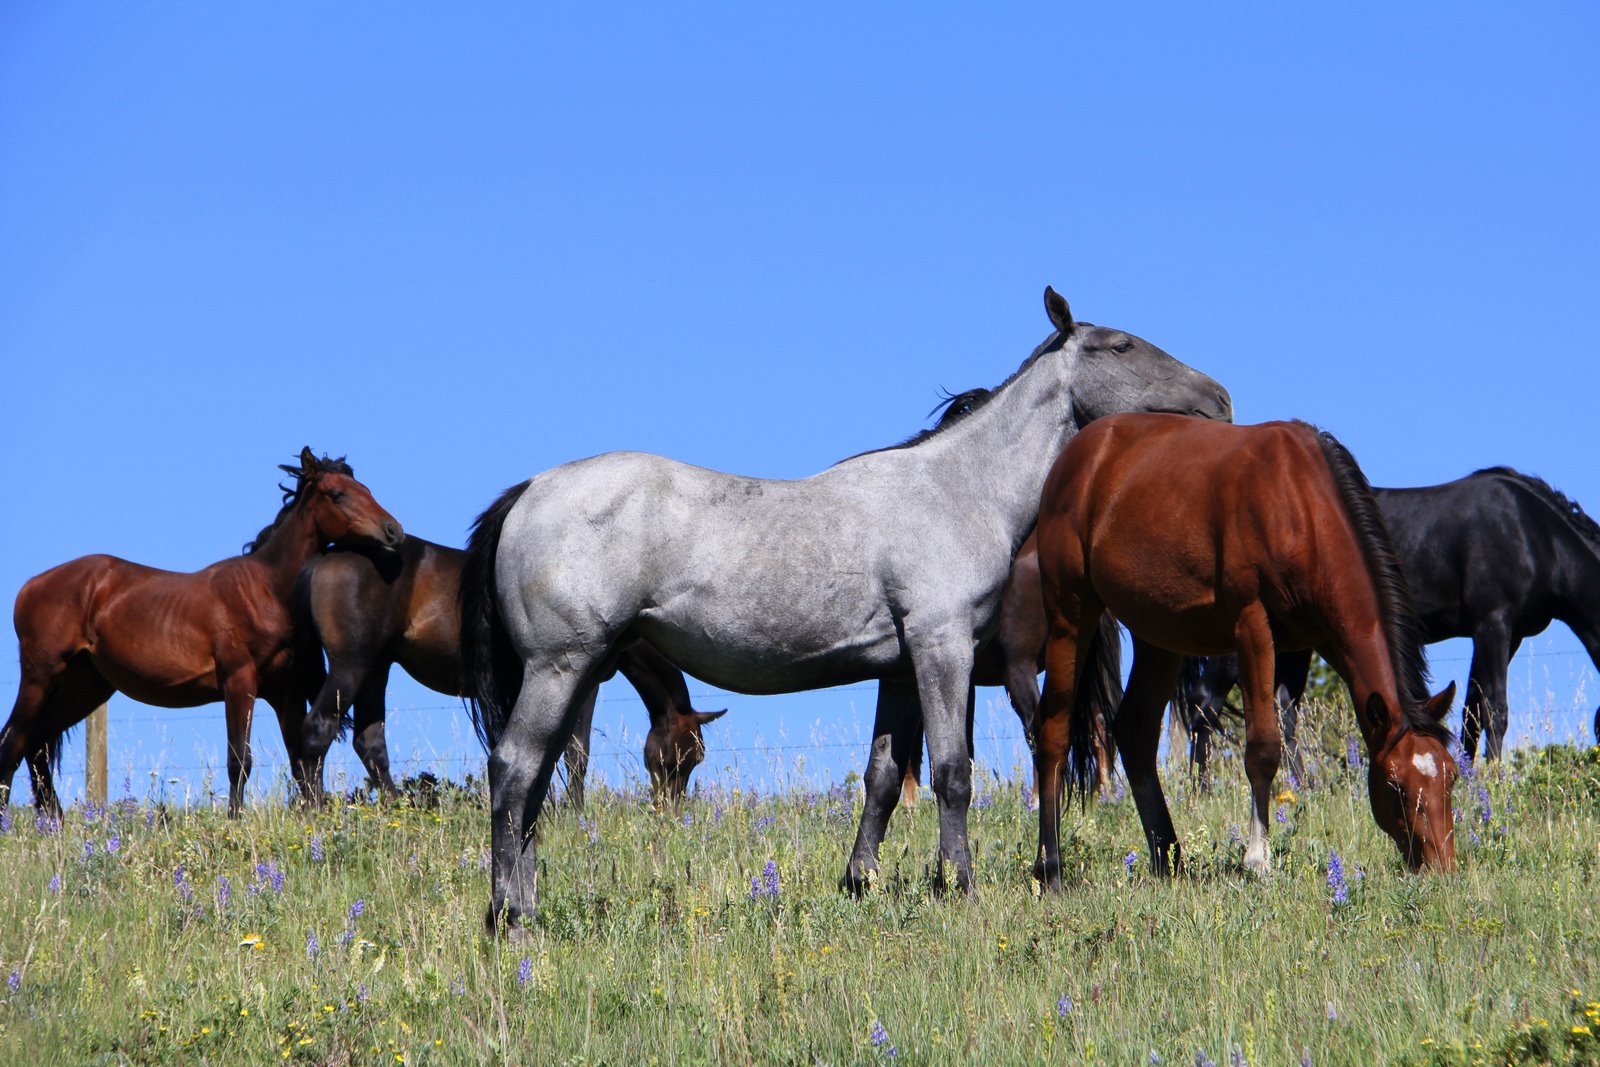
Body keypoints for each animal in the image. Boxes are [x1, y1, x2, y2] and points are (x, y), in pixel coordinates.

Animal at [0, 449, 403, 816]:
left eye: (365, 488)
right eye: (337, 493)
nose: (394, 531)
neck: (266, 590)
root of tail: (31, 586)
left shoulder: (285, 693)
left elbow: (298, 760)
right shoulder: (239, 683)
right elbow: (239, 759)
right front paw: (235, 821)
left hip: (85, 686)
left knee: (35, 745)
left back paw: (54, 820)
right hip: (40, 677)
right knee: (12, 743)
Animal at [292, 536, 726, 806]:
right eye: (680, 759)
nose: (670, 811)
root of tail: (327, 557)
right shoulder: (583, 684)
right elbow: (576, 753)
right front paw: (575, 812)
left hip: (375, 667)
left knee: (369, 743)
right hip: (353, 665)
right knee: (317, 730)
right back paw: (314, 810)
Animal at [461, 287, 1232, 931]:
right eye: (1122, 345)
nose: (1220, 399)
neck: (956, 489)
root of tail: (528, 492)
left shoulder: (898, 667)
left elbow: (884, 779)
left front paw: (860, 882)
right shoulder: (941, 647)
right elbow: (952, 771)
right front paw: (961, 884)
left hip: (579, 672)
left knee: (535, 784)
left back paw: (526, 905)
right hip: (560, 667)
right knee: (514, 770)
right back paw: (508, 915)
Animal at [1034, 415, 1458, 886]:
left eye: (1452, 777)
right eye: (1395, 785)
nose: (1443, 867)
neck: (1298, 503)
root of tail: (1077, 455)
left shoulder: (1324, 639)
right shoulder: (1252, 626)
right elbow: (1263, 749)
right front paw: (1258, 860)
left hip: (1158, 637)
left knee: (1135, 731)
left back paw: (1169, 860)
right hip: (1070, 613)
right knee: (1052, 732)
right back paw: (1050, 868)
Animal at [1173, 466, 1600, 778]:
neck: (1532, 534)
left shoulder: (1504, 636)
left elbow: (1470, 713)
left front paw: (1468, 776)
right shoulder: (1493, 624)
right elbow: (1495, 709)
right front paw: (1495, 780)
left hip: (1296, 644)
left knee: (1282, 709)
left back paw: (1304, 787)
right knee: (1206, 705)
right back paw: (1200, 790)